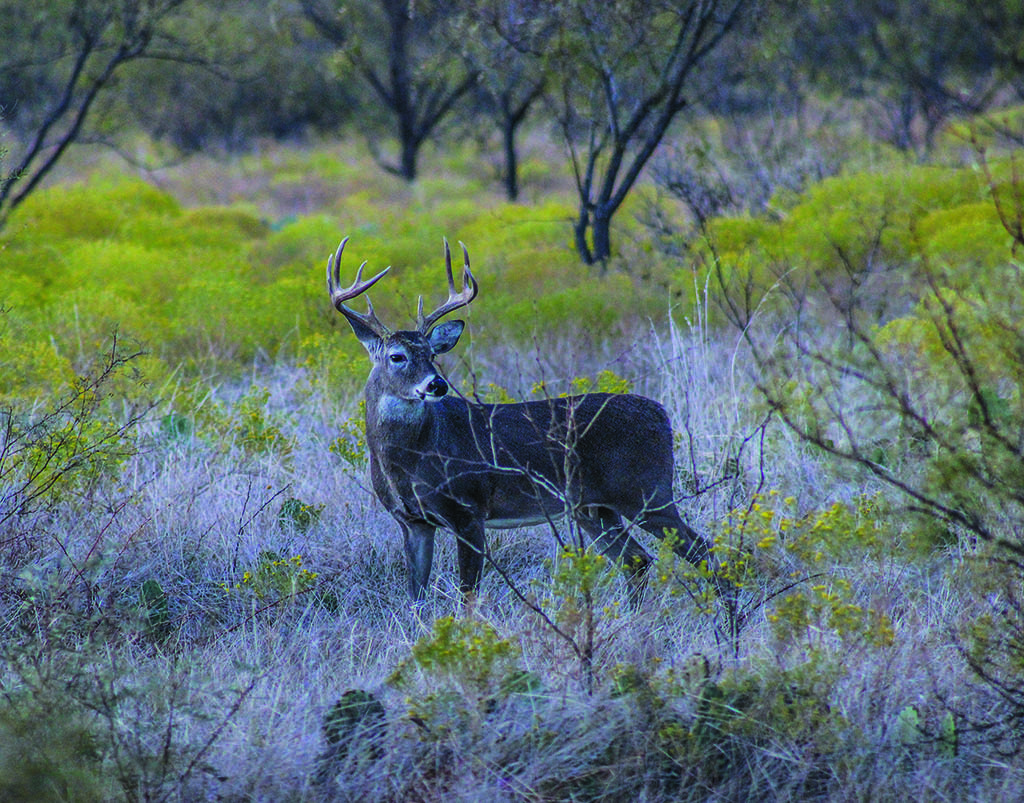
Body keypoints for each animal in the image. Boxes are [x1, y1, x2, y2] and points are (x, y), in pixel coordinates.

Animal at [323, 235, 716, 598]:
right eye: (397, 356)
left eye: (432, 355)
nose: (437, 384)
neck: (409, 459)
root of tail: (662, 415)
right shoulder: (412, 521)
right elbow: (415, 596)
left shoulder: (468, 510)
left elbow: (468, 593)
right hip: (595, 508)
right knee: (636, 560)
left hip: (646, 491)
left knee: (702, 550)